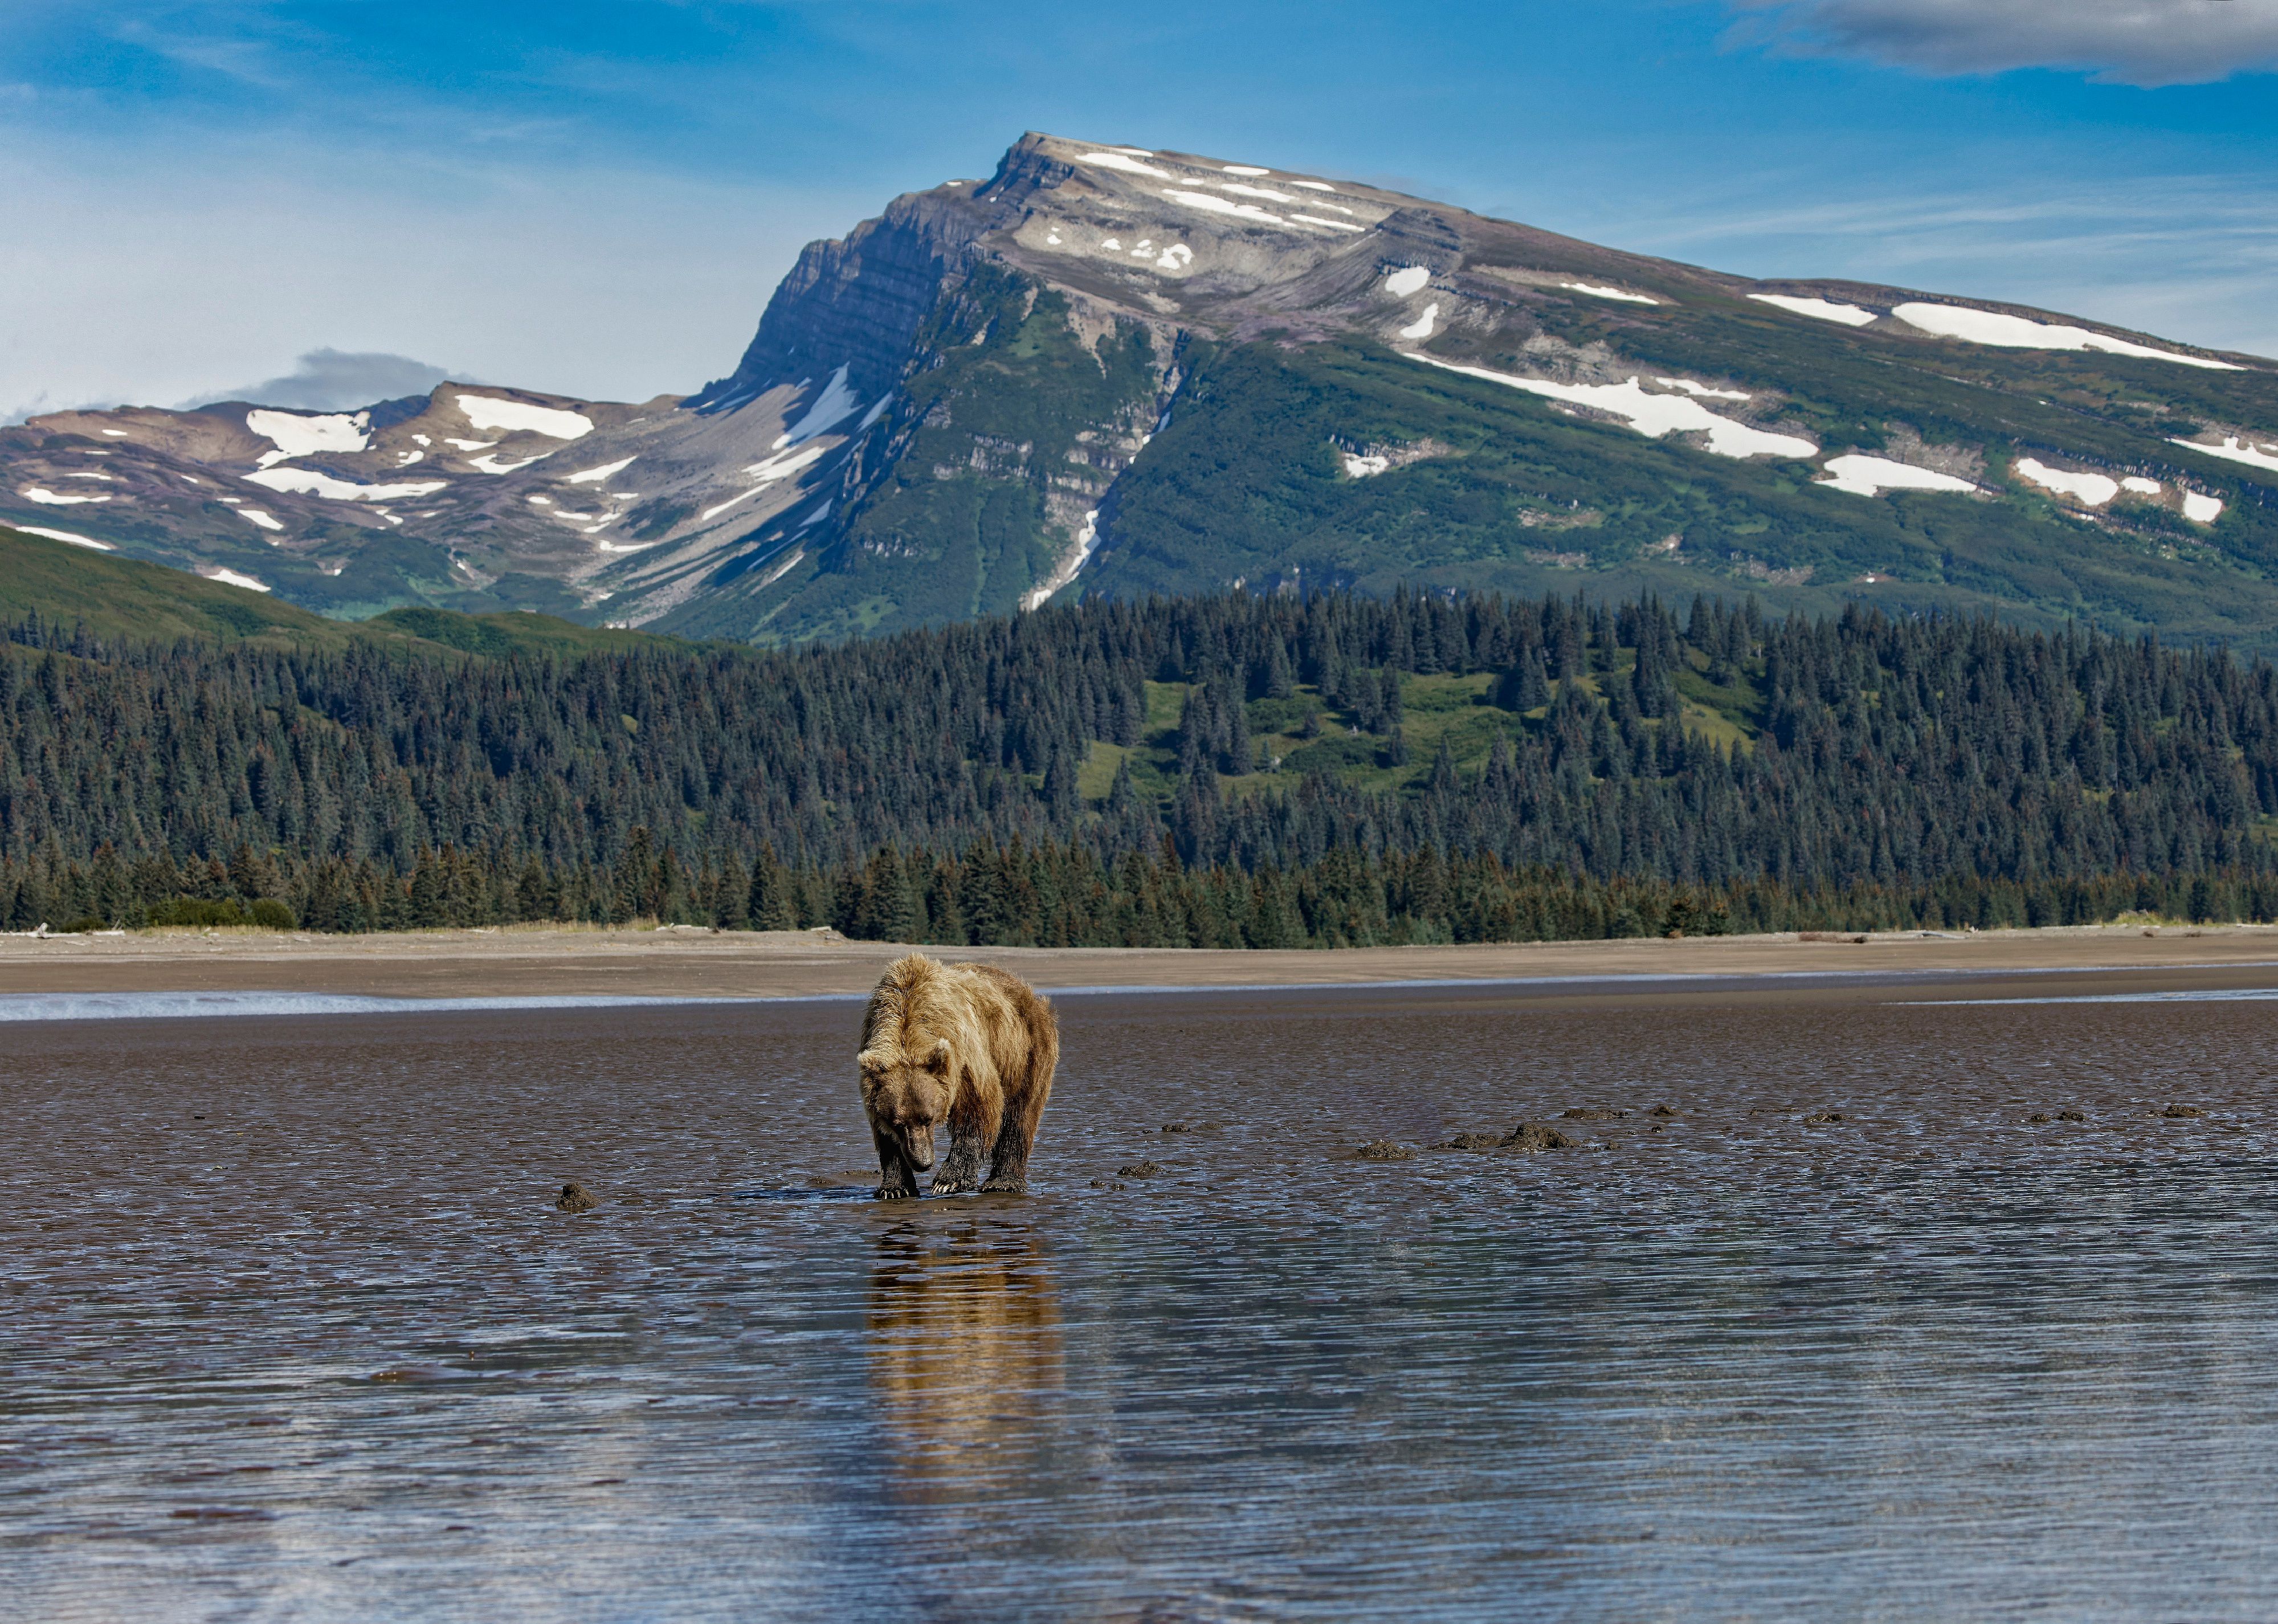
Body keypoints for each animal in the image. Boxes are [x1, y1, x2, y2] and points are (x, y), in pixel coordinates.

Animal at [857, 954, 1059, 1200]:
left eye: (928, 1118)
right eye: (898, 1123)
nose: (923, 1163)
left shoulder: (963, 1057)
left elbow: (979, 1108)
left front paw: (947, 1181)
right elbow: (886, 1138)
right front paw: (895, 1187)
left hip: (1024, 1052)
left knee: (1020, 1115)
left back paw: (1003, 1183)